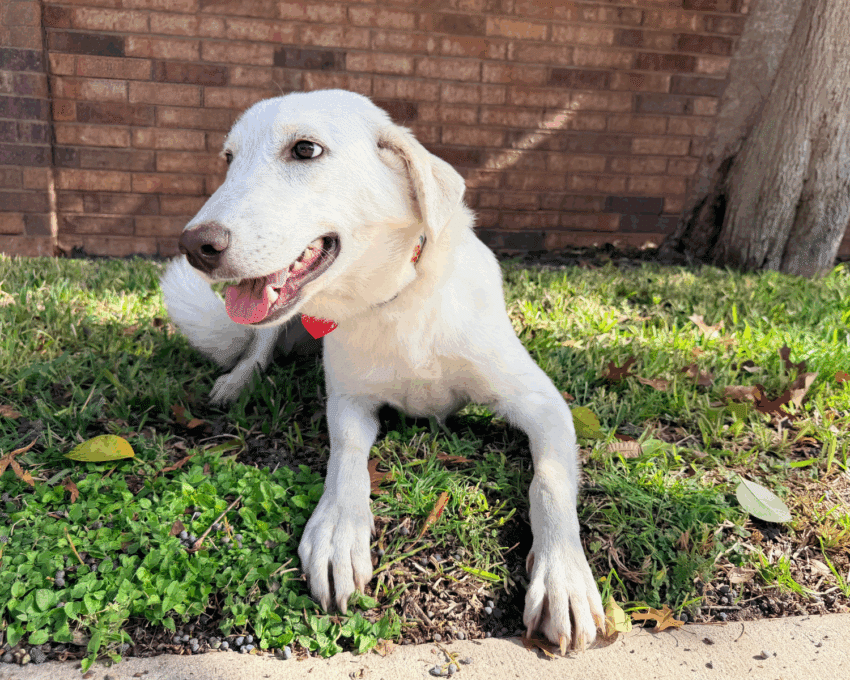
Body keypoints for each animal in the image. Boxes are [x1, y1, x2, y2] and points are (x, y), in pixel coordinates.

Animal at [160, 89, 604, 651]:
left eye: (305, 149)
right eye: (228, 159)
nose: (194, 245)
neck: (395, 300)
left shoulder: (544, 405)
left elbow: (548, 483)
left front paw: (564, 577)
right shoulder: (349, 402)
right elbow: (346, 458)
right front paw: (338, 530)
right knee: (258, 345)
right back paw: (237, 382)